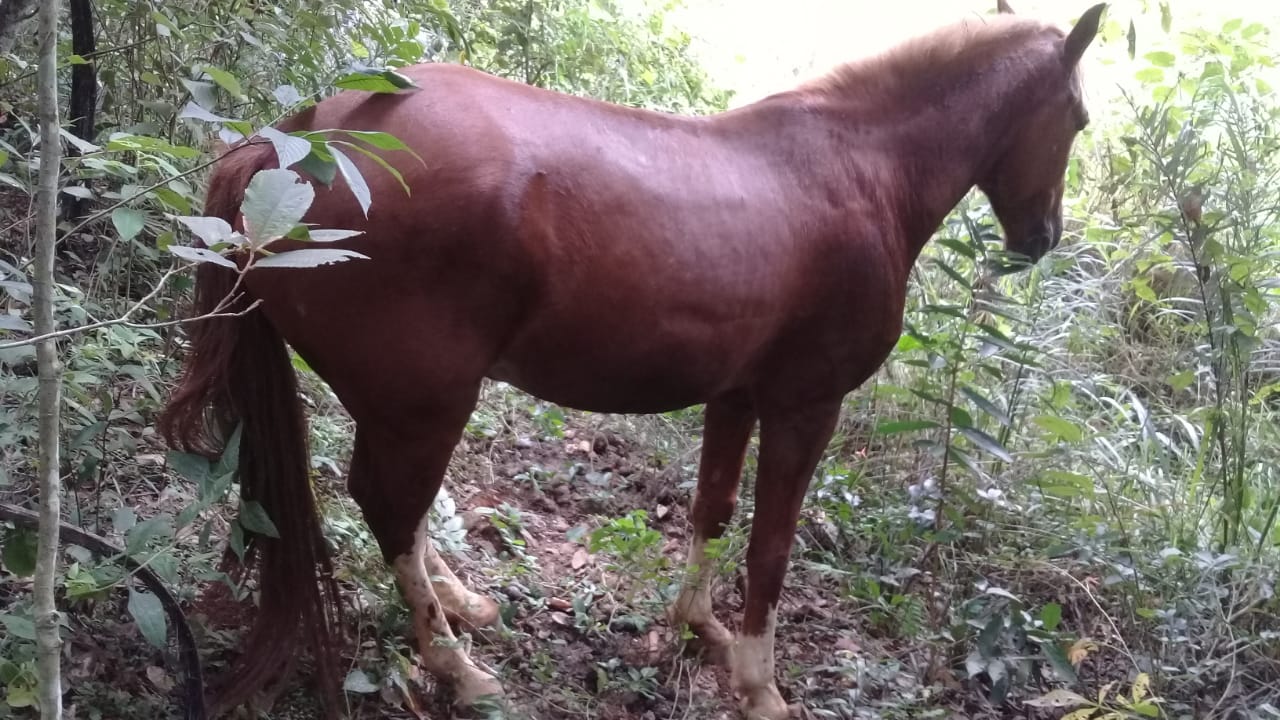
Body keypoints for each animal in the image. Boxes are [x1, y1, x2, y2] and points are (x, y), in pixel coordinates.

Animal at [159, 2, 1103, 717]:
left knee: (403, 511)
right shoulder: (807, 404)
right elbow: (771, 547)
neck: (862, 169)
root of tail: (293, 142)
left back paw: (461, 605)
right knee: (390, 508)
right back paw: (457, 669)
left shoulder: (736, 396)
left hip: (398, 404)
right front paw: (758, 685)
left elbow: (712, 511)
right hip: (426, 402)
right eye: (1081, 118)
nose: (1042, 237)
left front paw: (696, 625)